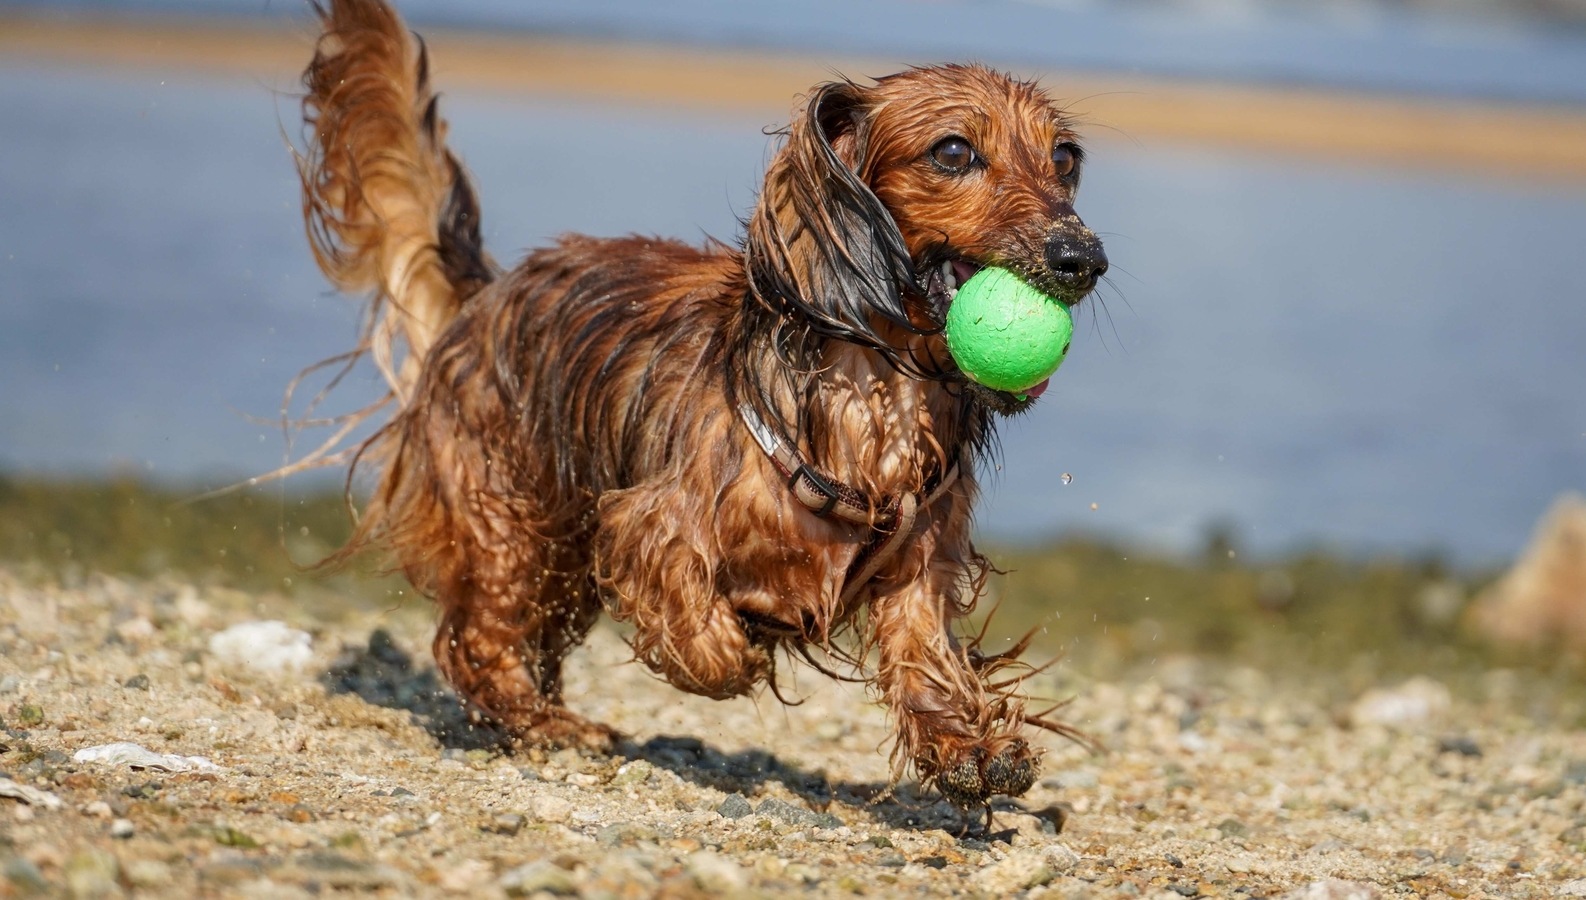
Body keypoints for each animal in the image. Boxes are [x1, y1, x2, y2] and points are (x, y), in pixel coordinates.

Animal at [299, 0, 1103, 812]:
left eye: (1065, 158)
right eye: (953, 151)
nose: (1083, 259)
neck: (876, 391)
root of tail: (485, 295)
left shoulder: (920, 563)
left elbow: (925, 652)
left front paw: (966, 745)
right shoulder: (646, 521)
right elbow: (698, 622)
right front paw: (736, 647)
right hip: (510, 522)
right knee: (476, 637)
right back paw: (539, 720)